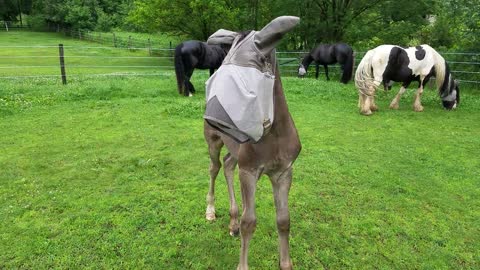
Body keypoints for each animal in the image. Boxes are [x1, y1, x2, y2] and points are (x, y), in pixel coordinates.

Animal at [204, 15, 302, 268]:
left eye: (260, 59)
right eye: (224, 60)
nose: (216, 115)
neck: (274, 135)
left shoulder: (283, 172)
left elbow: (284, 220)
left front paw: (286, 263)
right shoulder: (249, 171)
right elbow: (250, 222)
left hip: (235, 152)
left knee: (228, 165)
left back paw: (232, 222)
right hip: (213, 142)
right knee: (215, 168)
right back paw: (211, 210)